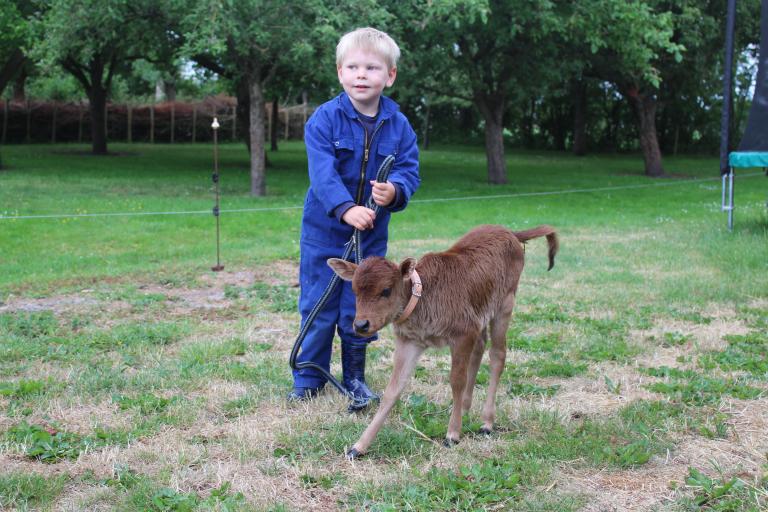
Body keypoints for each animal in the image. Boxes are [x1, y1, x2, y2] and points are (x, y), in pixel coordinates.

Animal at [328, 222, 560, 458]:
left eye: (386, 290)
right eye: (354, 290)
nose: (361, 325)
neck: (423, 297)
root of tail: (510, 232)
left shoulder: (462, 333)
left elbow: (456, 380)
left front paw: (452, 434)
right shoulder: (409, 341)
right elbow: (393, 390)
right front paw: (359, 446)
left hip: (505, 303)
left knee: (497, 355)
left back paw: (486, 422)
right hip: (481, 313)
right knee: (480, 347)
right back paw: (464, 409)